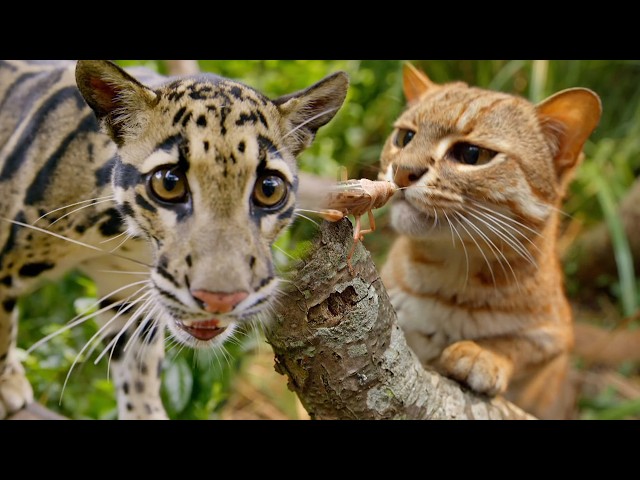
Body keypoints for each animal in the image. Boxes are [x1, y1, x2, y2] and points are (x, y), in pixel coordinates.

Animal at [0, 60, 348, 419]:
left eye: (270, 188)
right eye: (169, 182)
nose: (220, 300)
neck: (123, 235)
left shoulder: (126, 290)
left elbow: (137, 363)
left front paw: (145, 411)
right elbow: (1, 328)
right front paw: (6, 383)